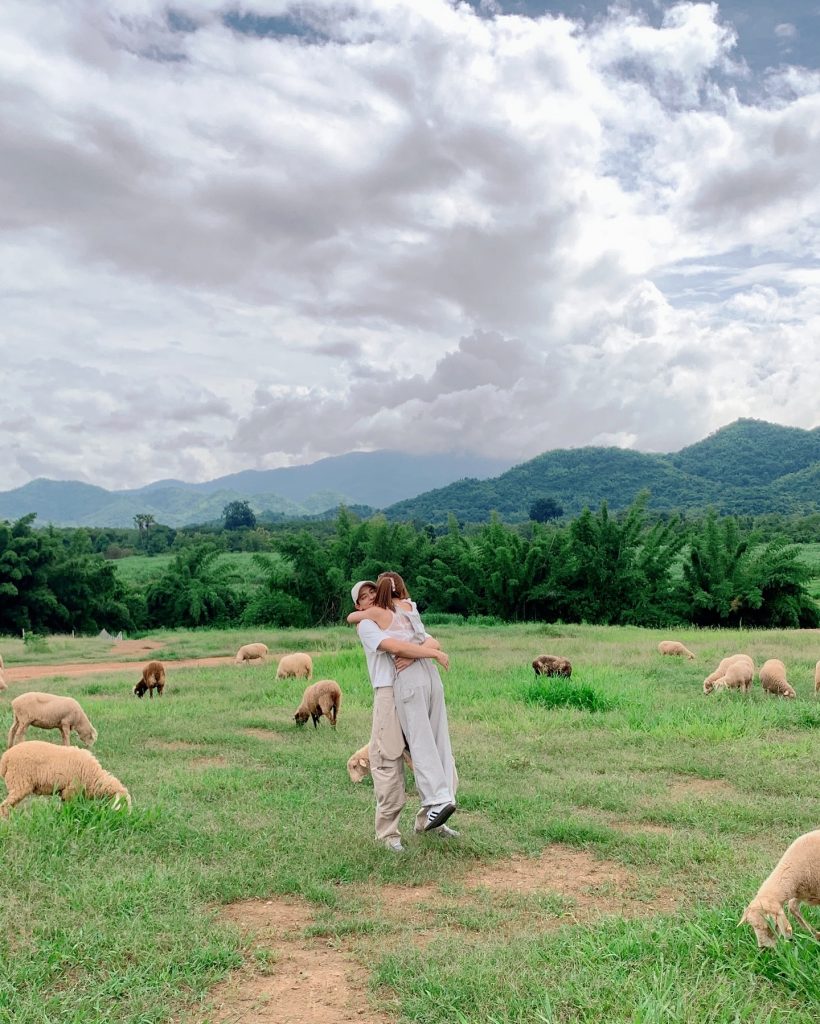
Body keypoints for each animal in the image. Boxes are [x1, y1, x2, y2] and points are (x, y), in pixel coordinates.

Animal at [0, 741, 130, 819]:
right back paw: (9, 821)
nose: (126, 818)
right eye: (123, 804)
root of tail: (6, 757)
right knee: (4, 805)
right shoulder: (71, 789)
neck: (94, 777)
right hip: (19, 782)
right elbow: (70, 806)